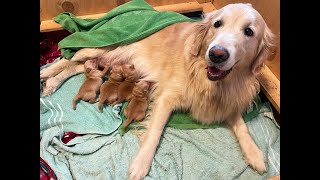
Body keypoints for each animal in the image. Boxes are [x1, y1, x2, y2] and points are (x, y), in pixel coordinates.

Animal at [40, 3, 276, 180]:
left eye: (248, 31)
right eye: (218, 24)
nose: (216, 54)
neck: (208, 80)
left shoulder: (225, 102)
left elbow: (242, 127)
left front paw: (255, 154)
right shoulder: (166, 97)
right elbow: (155, 131)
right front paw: (141, 164)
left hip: (104, 63)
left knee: (76, 66)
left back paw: (52, 83)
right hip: (102, 46)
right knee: (69, 57)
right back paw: (47, 73)